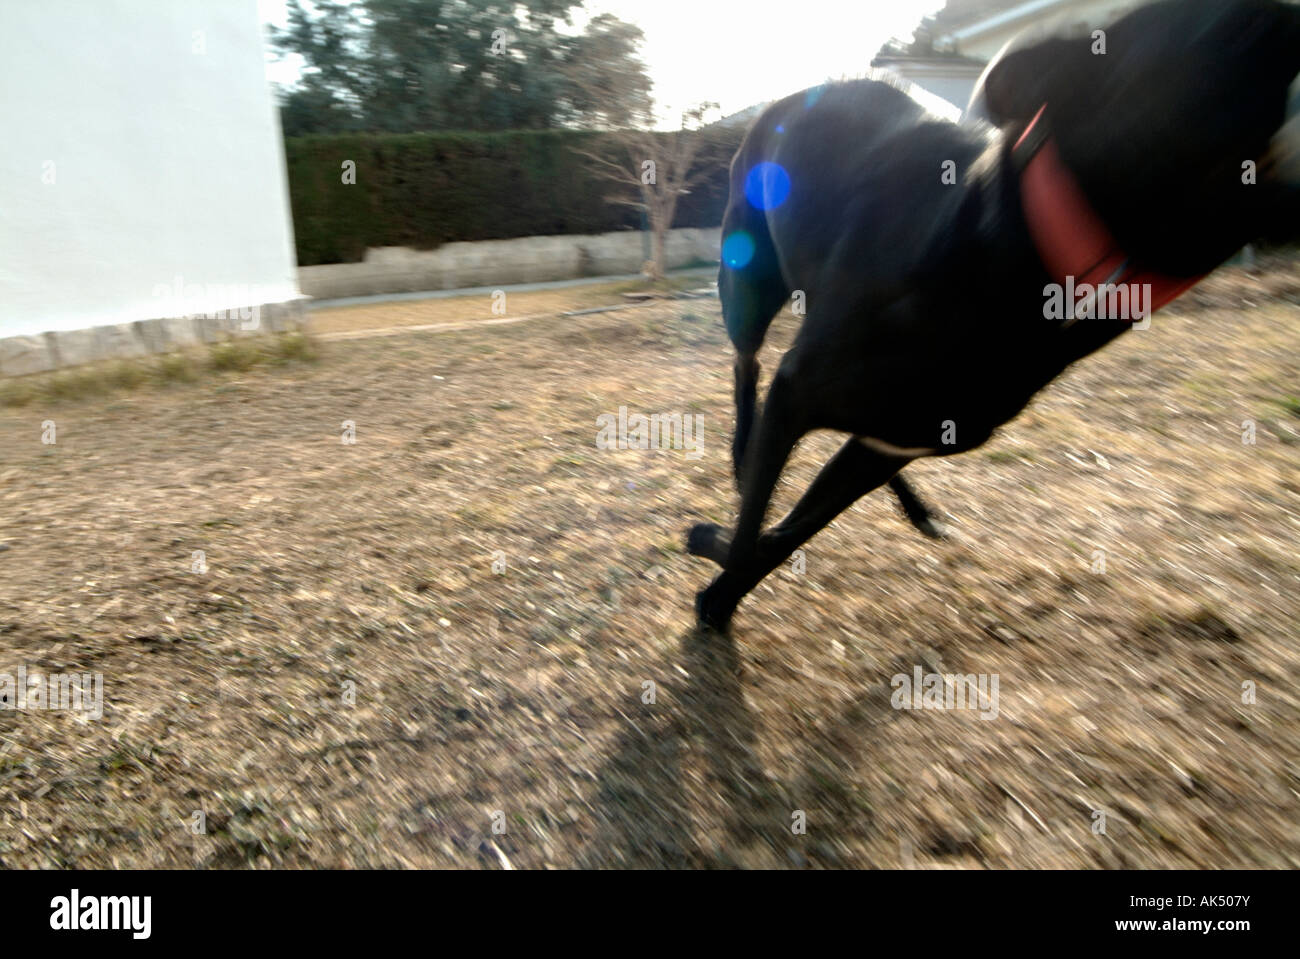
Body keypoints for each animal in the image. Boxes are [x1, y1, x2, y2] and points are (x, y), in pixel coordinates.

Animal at [691, 0, 1300, 628]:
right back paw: (742, 453)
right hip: (747, 282)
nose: (1283, 14)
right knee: (746, 365)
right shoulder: (798, 392)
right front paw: (719, 568)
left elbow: (787, 533)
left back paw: (915, 509)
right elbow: (753, 528)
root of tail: (800, 92)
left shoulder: (892, 441)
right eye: (1231, 29)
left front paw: (724, 584)